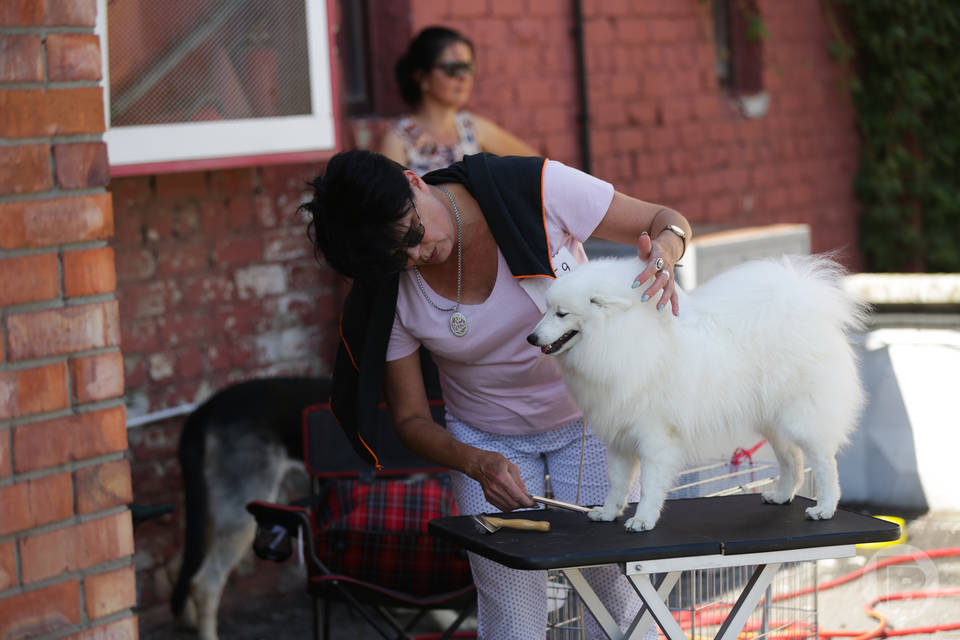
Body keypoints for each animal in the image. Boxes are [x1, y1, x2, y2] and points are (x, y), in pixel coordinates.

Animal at [167, 378, 328, 636]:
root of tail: (204, 410)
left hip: (216, 512)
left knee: (179, 567)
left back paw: (189, 622)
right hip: (242, 517)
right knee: (205, 583)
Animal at [528, 254, 868, 528]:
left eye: (561, 313)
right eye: (546, 310)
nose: (531, 338)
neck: (623, 336)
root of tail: (802, 307)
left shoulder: (655, 435)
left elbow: (650, 484)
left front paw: (643, 519)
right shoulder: (620, 436)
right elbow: (617, 482)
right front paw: (609, 513)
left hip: (801, 418)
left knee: (824, 463)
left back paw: (825, 507)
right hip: (772, 420)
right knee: (792, 460)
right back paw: (782, 495)